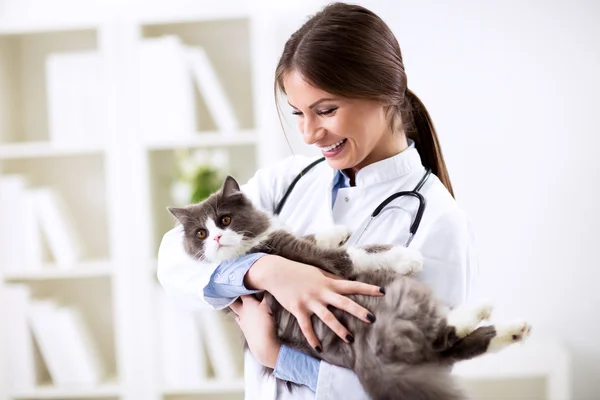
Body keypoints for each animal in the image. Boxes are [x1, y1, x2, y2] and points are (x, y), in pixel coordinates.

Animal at [168, 176, 528, 400]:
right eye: (201, 233)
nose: (216, 238)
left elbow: (316, 236)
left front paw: (337, 229)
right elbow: (354, 254)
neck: (249, 249)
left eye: (225, 220)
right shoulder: (307, 257)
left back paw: (513, 330)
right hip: (398, 296)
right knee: (442, 342)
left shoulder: (289, 240)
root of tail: (366, 352)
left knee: (448, 349)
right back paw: (484, 312)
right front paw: (405, 256)